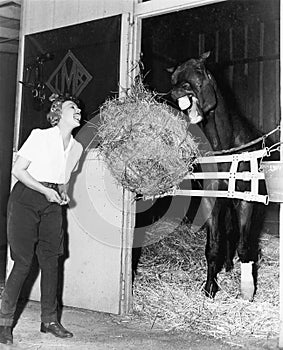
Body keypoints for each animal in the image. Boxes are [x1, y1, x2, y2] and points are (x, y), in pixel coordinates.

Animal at [168, 52, 266, 300]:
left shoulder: (245, 201)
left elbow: (244, 246)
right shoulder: (211, 199)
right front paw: (210, 286)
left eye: (199, 70)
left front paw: (248, 290)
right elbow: (213, 246)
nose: (178, 90)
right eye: (173, 78)